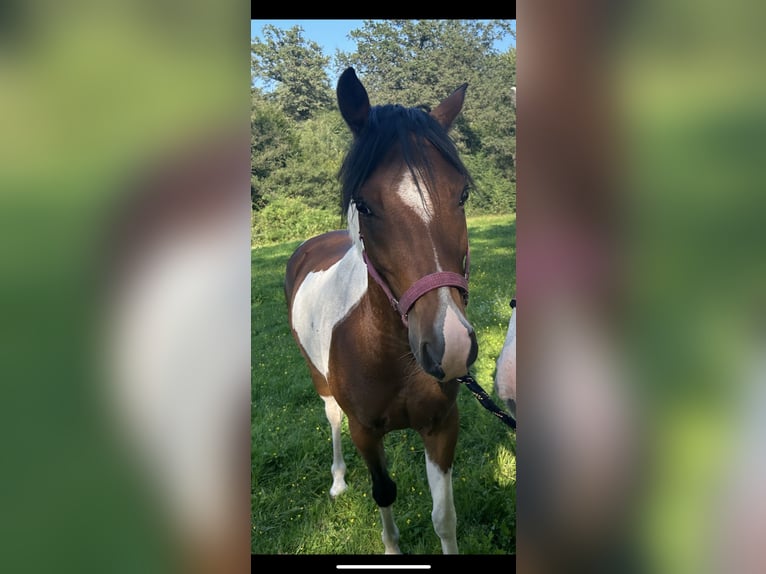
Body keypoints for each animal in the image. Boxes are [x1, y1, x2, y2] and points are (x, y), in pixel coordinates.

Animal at [284, 67, 477, 555]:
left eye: (462, 195)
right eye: (366, 206)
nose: (450, 345)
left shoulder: (442, 426)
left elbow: (445, 516)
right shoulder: (365, 432)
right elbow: (384, 491)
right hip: (320, 382)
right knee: (331, 419)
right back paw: (337, 481)